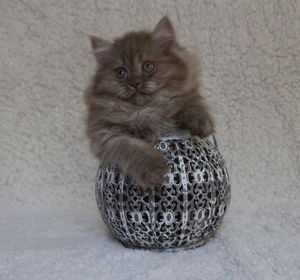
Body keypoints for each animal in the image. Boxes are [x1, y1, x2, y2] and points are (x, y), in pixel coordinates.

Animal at [85, 17, 214, 188]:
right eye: (121, 73)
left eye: (148, 66)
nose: (135, 83)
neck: (144, 111)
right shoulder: (106, 133)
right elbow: (131, 147)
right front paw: (154, 170)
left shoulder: (187, 93)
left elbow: (193, 104)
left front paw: (200, 123)